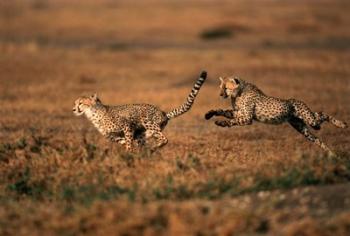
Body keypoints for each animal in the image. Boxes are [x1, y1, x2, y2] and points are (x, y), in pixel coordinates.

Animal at [72, 70, 206, 151]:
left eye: (81, 103)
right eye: (75, 103)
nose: (73, 109)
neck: (94, 113)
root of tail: (163, 113)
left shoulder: (127, 125)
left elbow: (128, 141)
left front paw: (128, 153)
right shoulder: (112, 136)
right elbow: (124, 141)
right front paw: (129, 151)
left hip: (148, 121)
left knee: (164, 139)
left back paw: (152, 148)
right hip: (146, 133)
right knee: (149, 140)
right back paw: (147, 151)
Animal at [205, 75, 348, 153]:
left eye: (226, 88)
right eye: (220, 87)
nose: (221, 94)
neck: (238, 93)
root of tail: (296, 100)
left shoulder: (247, 118)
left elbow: (233, 121)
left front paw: (221, 122)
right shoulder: (238, 112)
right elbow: (222, 111)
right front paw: (210, 114)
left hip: (310, 120)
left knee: (321, 115)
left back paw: (342, 124)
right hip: (302, 128)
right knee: (317, 138)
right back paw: (331, 154)